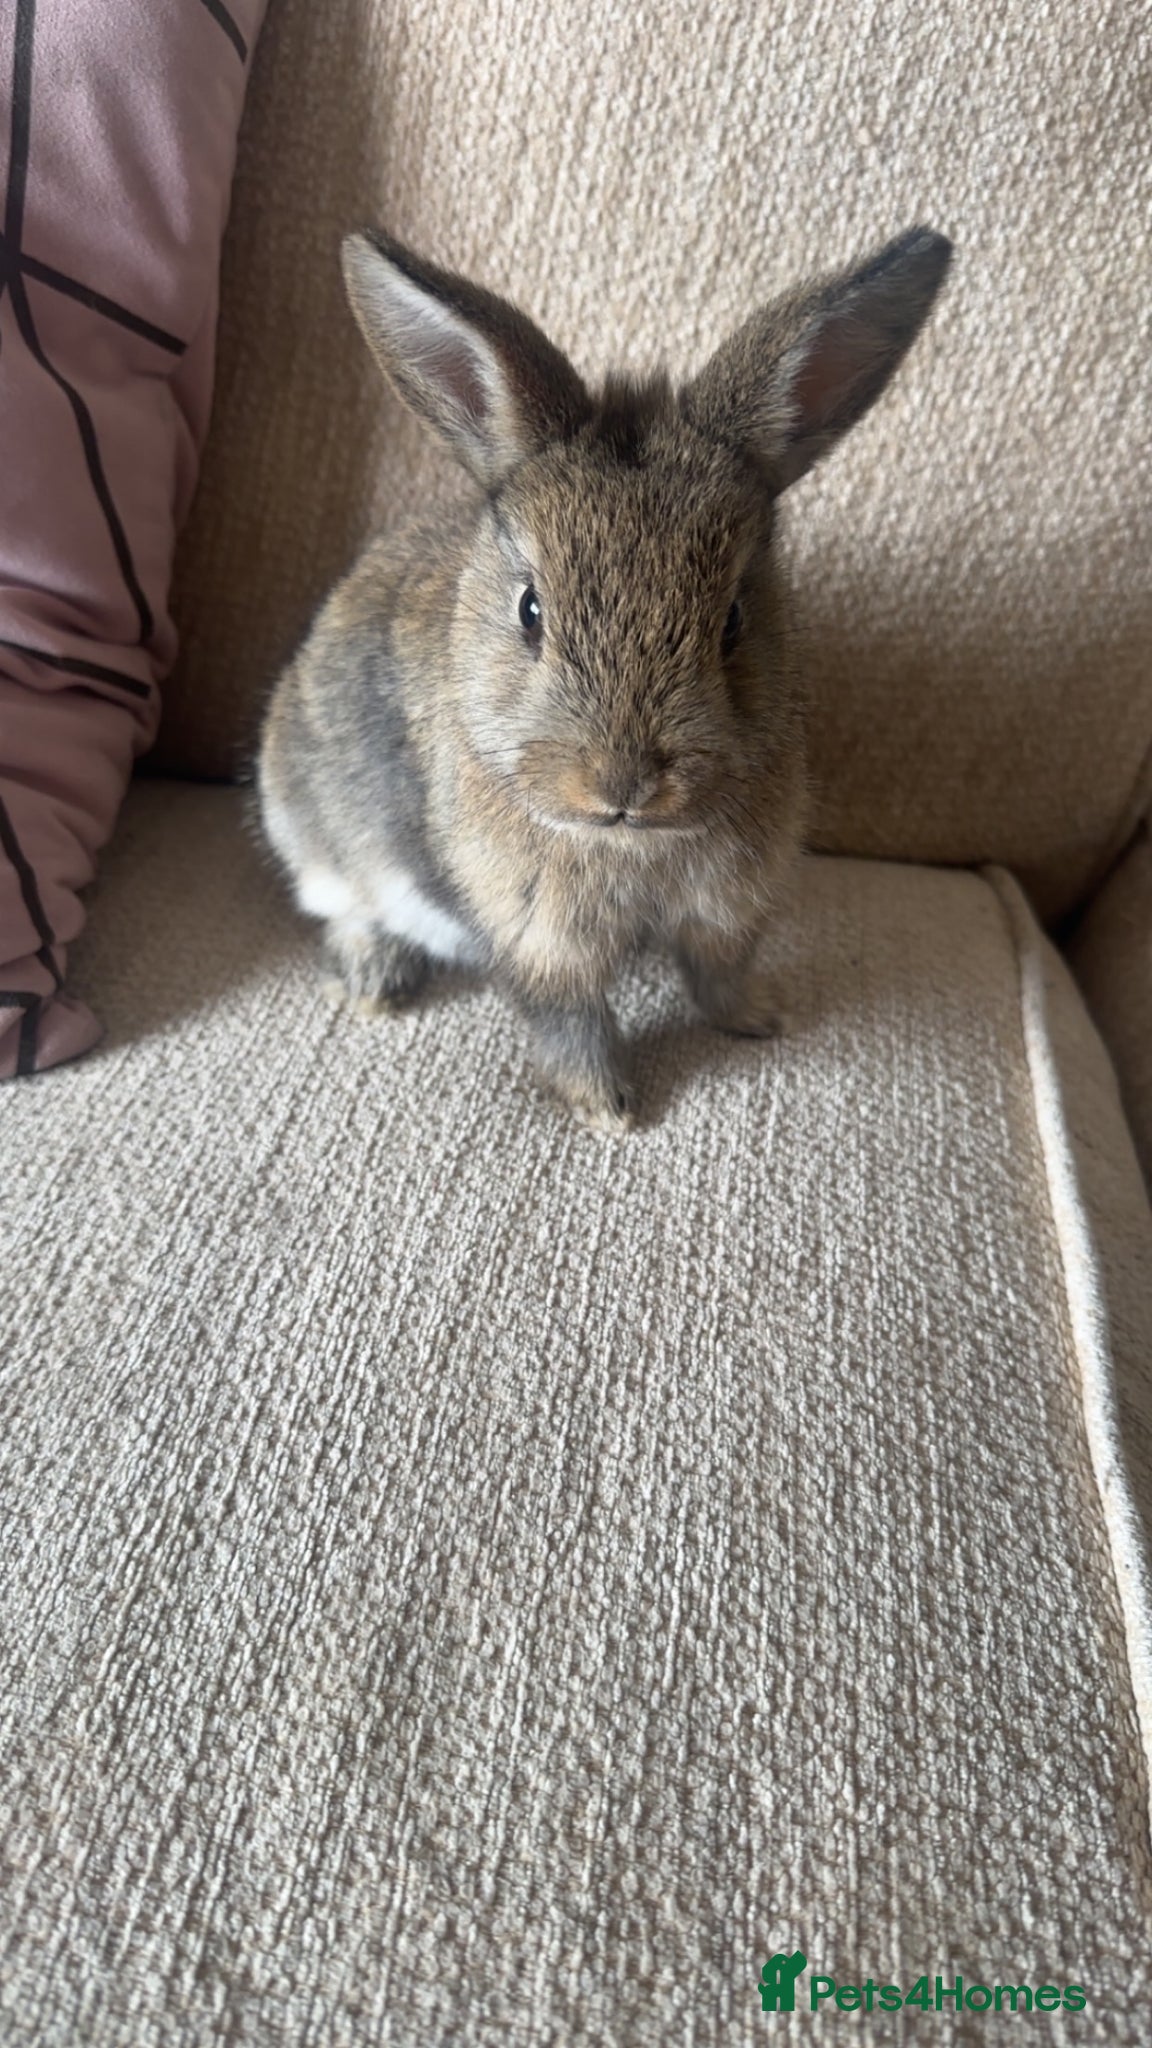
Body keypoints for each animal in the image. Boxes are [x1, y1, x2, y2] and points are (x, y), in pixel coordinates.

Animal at [258, 224, 951, 1131]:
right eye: (530, 610)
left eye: (732, 620)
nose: (623, 784)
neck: (633, 845)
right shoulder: (542, 939)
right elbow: (570, 1020)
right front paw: (608, 1110)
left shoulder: (725, 913)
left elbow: (718, 975)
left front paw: (759, 1020)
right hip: (310, 825)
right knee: (341, 904)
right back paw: (378, 980)